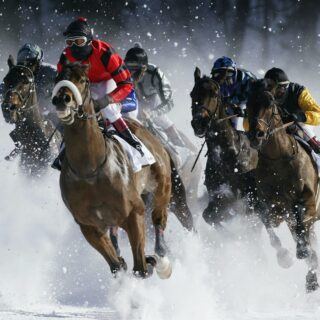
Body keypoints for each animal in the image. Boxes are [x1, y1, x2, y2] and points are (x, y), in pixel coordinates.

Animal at [51, 62, 192, 278]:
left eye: (83, 80)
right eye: (57, 77)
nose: (62, 99)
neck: (90, 170)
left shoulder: (134, 213)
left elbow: (140, 268)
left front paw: (151, 262)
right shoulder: (89, 226)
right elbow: (117, 264)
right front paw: (124, 263)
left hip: (164, 186)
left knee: (162, 218)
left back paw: (164, 258)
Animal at [190, 67, 258, 226]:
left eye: (214, 94)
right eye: (192, 94)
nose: (199, 122)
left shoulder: (243, 198)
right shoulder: (217, 193)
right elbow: (209, 215)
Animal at [246, 79, 318, 292]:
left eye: (270, 105)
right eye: (248, 106)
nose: (256, 134)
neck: (279, 159)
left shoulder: (310, 201)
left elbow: (300, 210)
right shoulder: (273, 208)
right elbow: (266, 219)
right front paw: (284, 257)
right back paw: (311, 278)